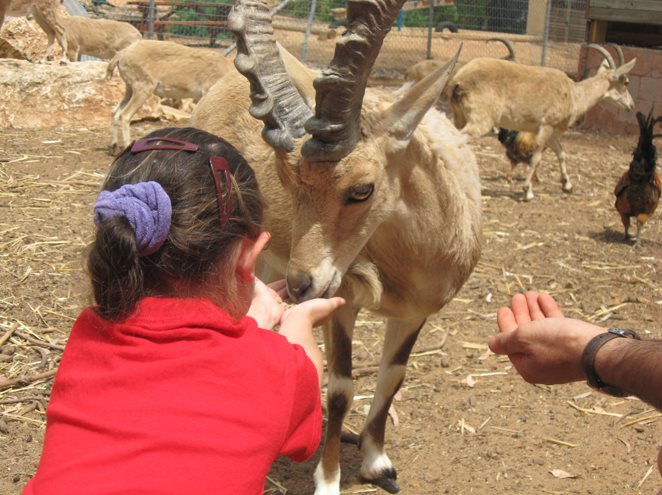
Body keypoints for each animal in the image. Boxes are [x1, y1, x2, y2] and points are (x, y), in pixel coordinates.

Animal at [192, 0, 482, 495]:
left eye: (362, 189)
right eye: (287, 179)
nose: (303, 283)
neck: (411, 267)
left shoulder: (415, 313)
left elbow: (392, 377)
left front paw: (377, 463)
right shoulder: (342, 300)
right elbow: (343, 387)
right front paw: (328, 480)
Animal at [446, 44, 640, 200]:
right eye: (626, 82)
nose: (631, 105)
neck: (574, 95)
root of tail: (458, 81)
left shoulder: (553, 133)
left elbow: (561, 153)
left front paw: (567, 186)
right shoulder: (546, 126)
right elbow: (536, 158)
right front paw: (528, 192)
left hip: (459, 116)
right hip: (481, 121)